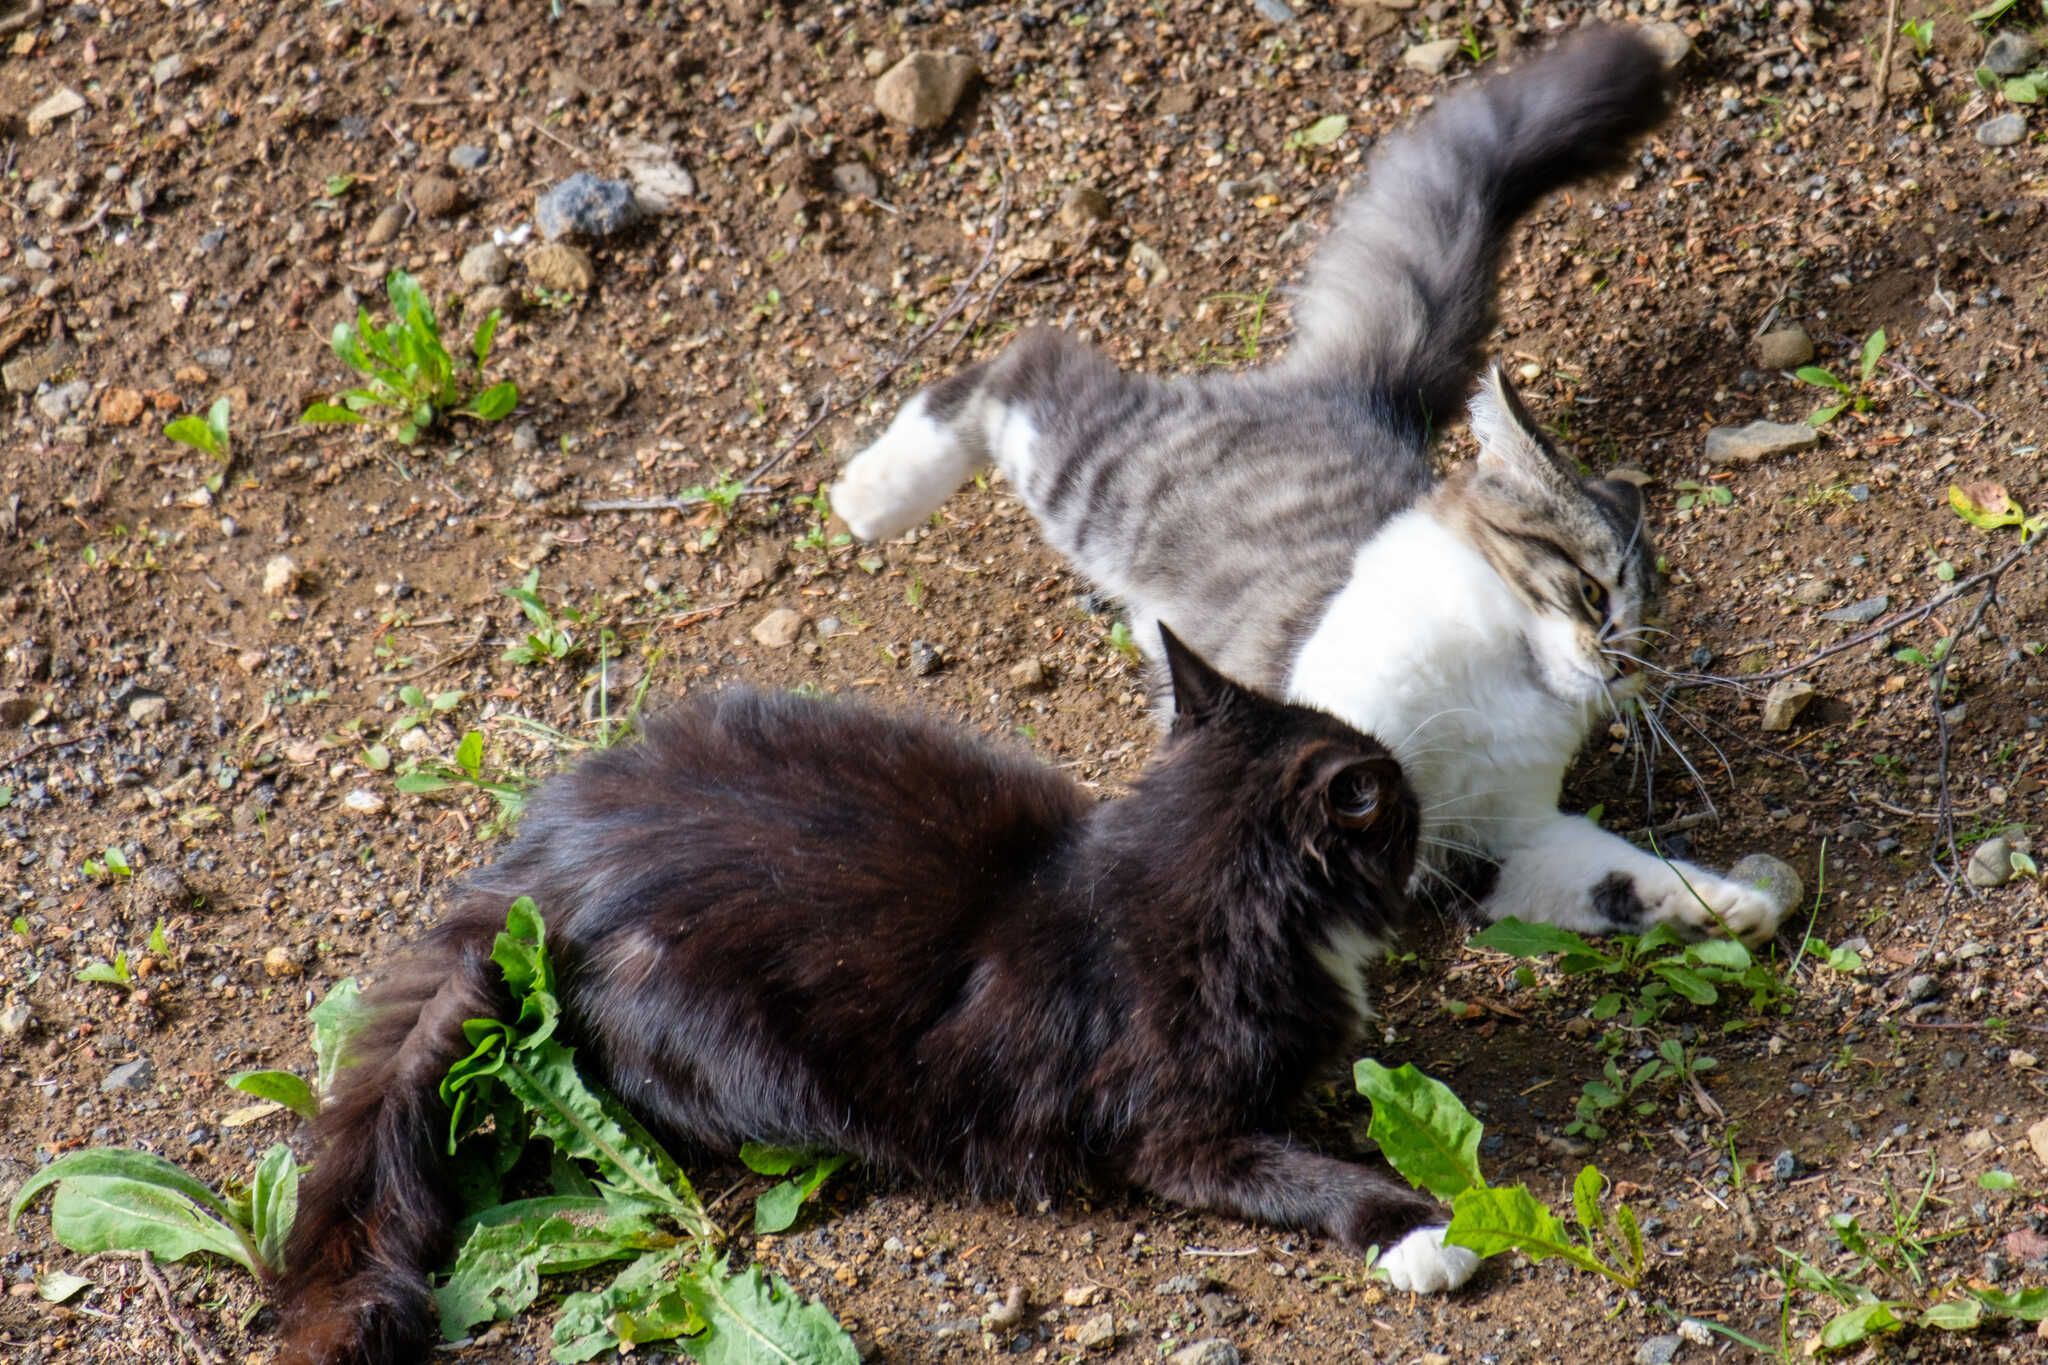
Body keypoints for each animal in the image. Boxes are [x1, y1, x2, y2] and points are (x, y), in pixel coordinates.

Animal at [276, 630, 1474, 1365]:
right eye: (1395, 802)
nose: (1422, 800)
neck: (1166, 874)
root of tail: (537, 872)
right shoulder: (1172, 1133)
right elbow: (1284, 1171)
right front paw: (1415, 1223)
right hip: (723, 1041)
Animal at [831, 24, 1794, 961]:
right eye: (1594, 591)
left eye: (1649, 628)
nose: (1625, 663)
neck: (1510, 695)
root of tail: (1349, 391)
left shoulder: (1504, 839)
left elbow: (1618, 874)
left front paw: (1726, 907)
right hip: (1094, 477)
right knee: (1028, 359)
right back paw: (868, 495)